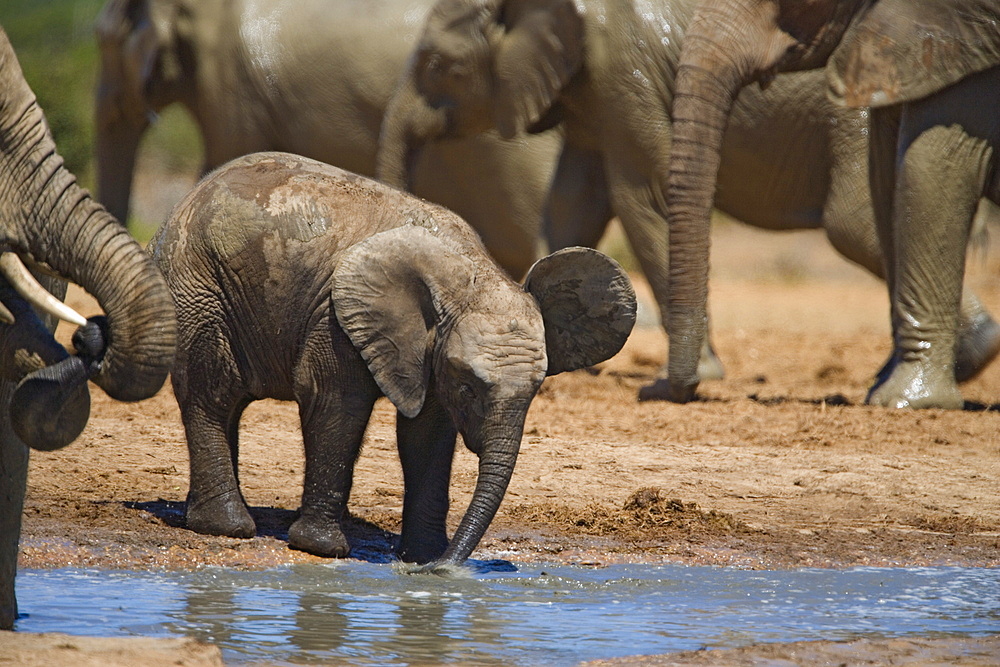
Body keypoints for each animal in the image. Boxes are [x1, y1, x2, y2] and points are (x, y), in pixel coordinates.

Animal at [150, 153, 632, 568]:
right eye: (468, 387)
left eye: (536, 391)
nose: (446, 568)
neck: (469, 274)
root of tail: (183, 203)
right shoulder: (334, 316)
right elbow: (336, 404)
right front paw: (322, 548)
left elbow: (428, 436)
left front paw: (423, 557)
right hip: (197, 286)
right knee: (213, 392)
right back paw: (227, 526)